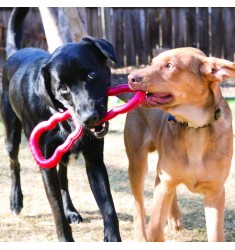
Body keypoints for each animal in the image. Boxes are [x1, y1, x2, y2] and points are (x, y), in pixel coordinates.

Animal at [1, 8, 123, 242]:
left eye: (91, 74)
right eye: (62, 88)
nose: (90, 118)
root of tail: (15, 52)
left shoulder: (94, 160)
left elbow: (109, 207)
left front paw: (113, 238)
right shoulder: (46, 163)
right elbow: (55, 208)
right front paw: (65, 238)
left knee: (63, 178)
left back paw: (71, 211)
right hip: (11, 135)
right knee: (14, 164)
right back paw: (15, 200)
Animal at [124, 47, 235, 242]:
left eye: (169, 66)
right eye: (152, 63)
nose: (131, 78)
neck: (195, 127)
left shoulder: (215, 193)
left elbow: (216, 236)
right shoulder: (164, 185)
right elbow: (155, 230)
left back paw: (174, 217)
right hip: (137, 162)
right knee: (139, 205)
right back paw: (141, 236)